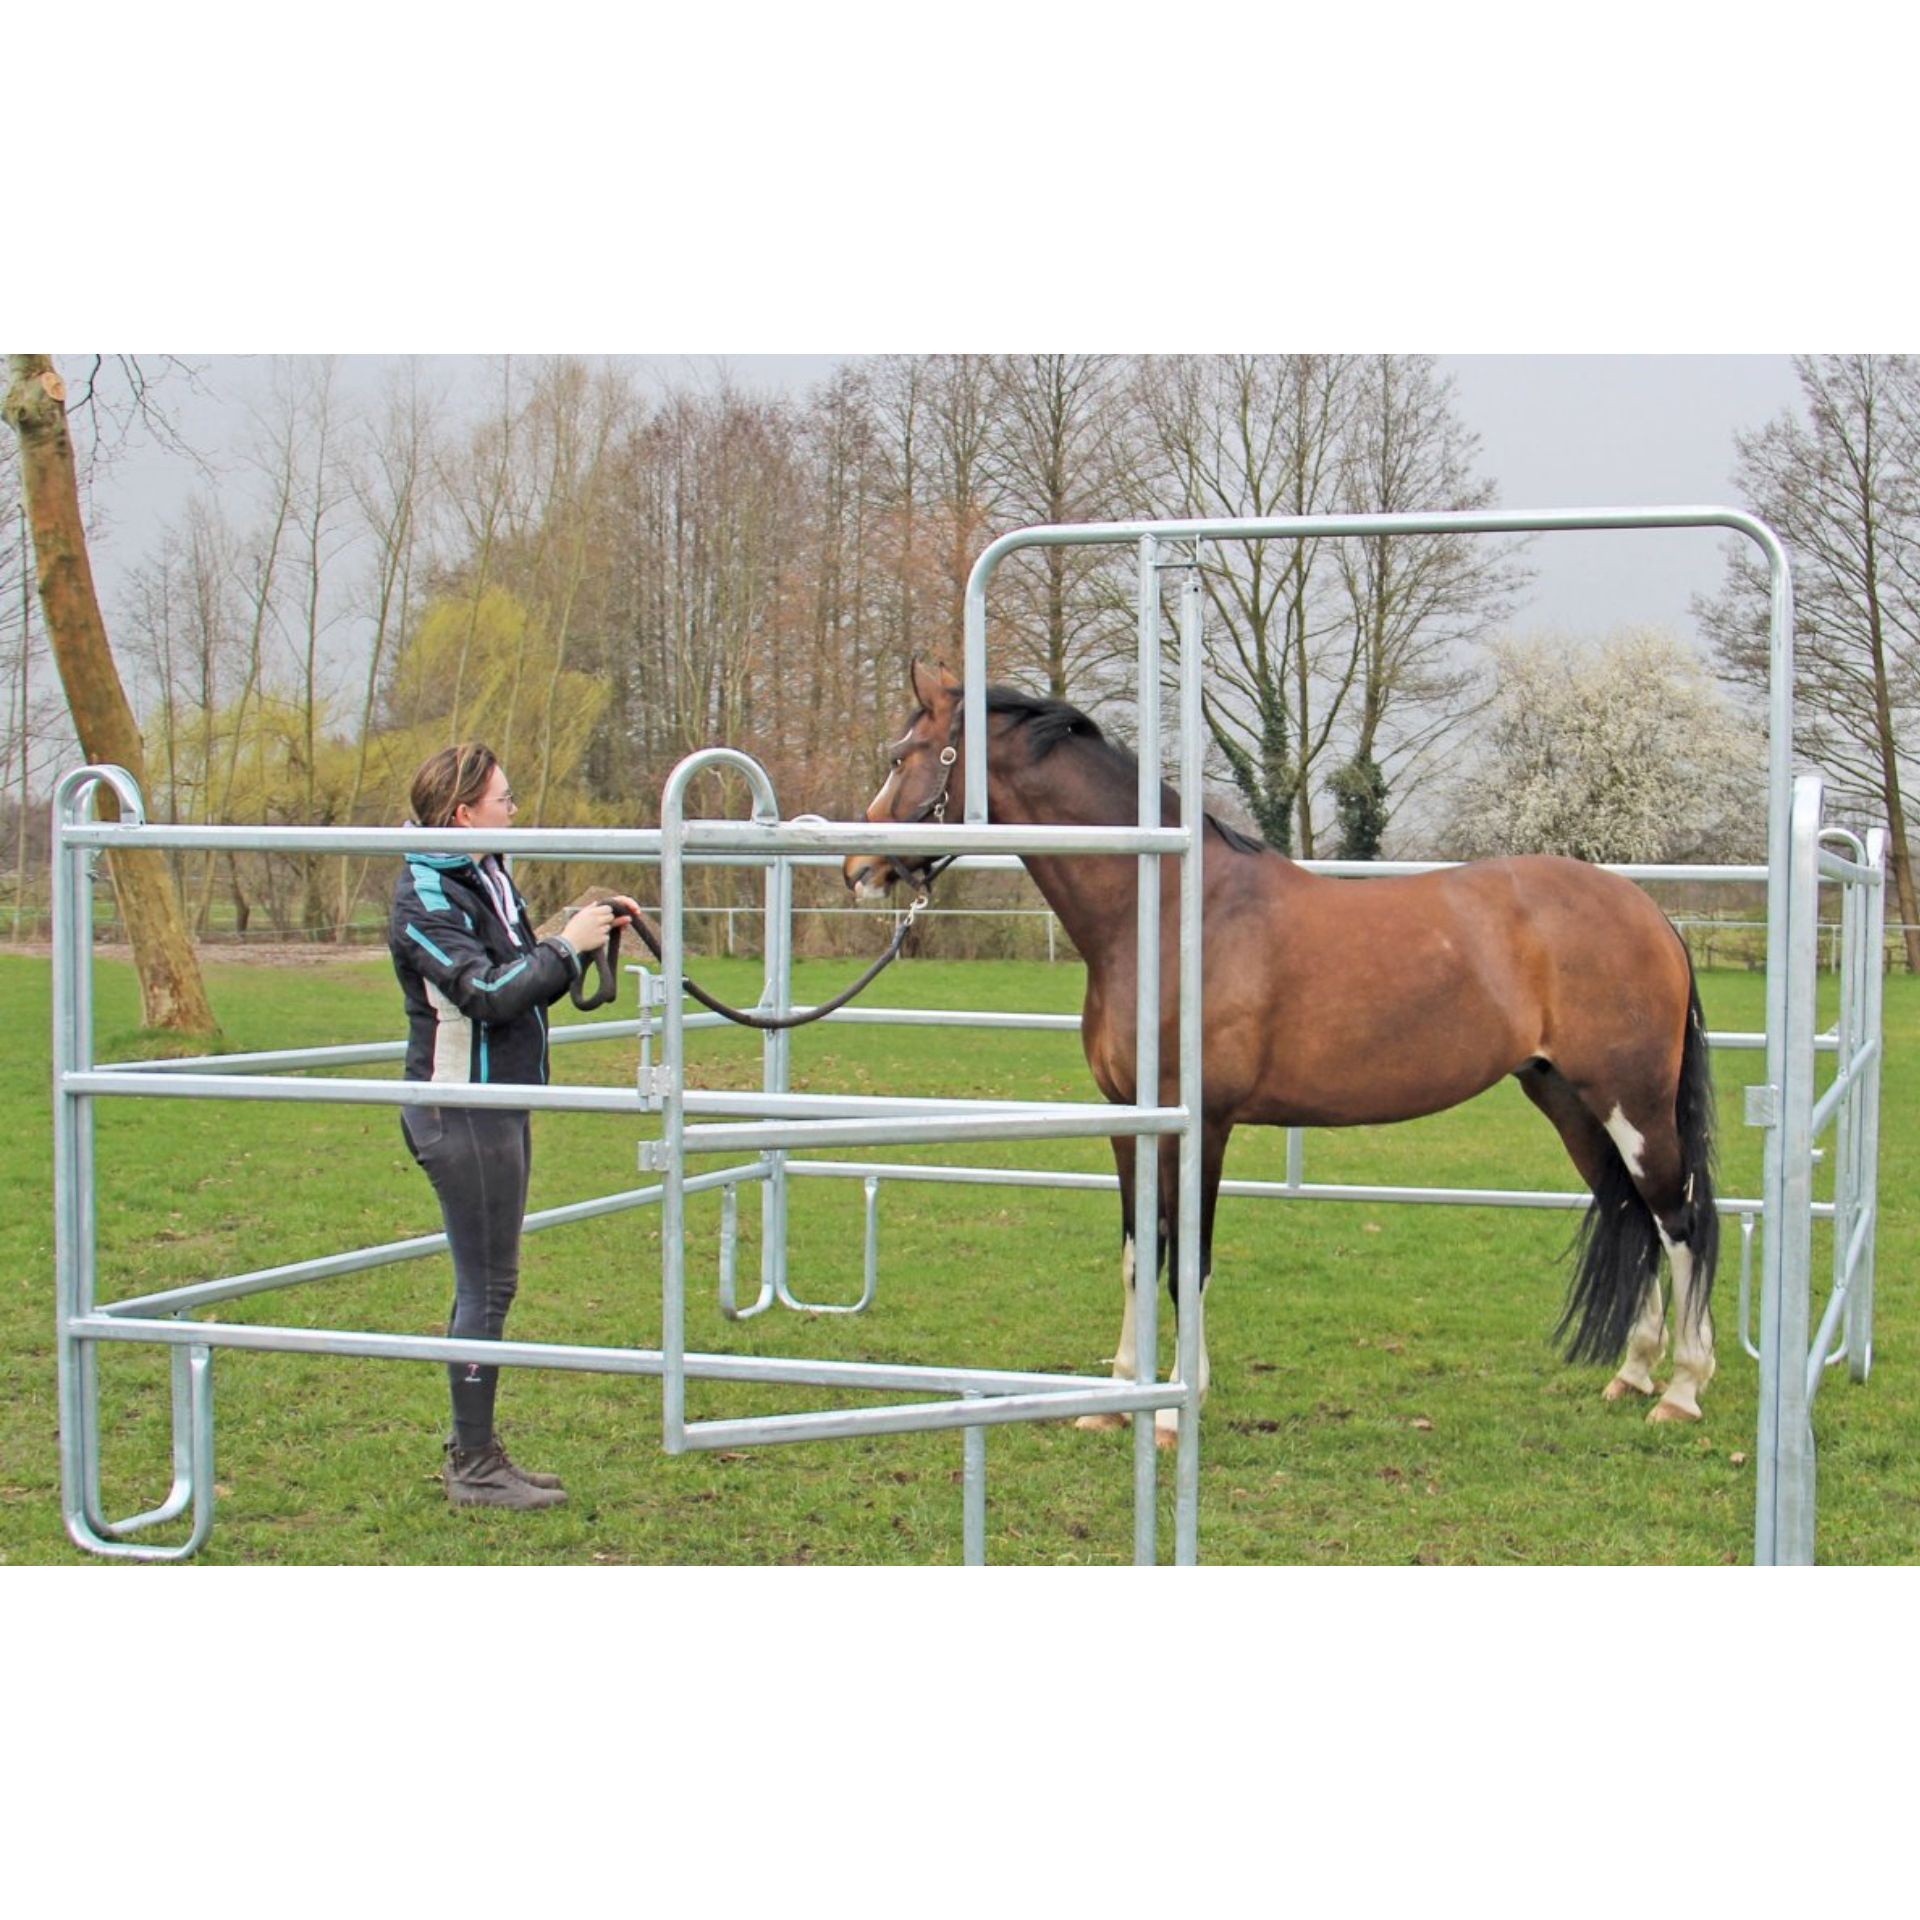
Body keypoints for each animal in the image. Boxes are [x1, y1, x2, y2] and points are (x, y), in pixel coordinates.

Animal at [842, 658, 1721, 1444]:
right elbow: (1138, 1254)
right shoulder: (1131, 1119)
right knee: (1629, 1210)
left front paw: (1175, 1410)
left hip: (1633, 1103)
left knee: (1676, 1218)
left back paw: (1681, 1391)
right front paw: (1117, 1400)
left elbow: (1187, 1261)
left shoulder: (1204, 1124)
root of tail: (1650, 912)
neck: (1168, 913)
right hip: (1568, 1101)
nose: (858, 868)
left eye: (902, 756)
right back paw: (1632, 1373)